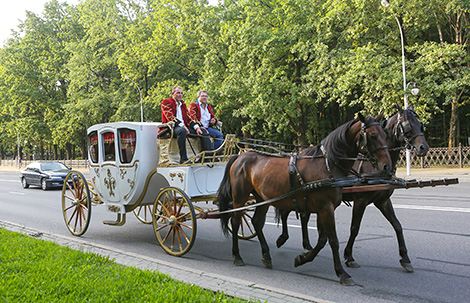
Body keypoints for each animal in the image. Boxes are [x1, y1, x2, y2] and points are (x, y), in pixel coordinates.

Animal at [218, 113, 392, 284]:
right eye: (373, 135)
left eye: (385, 135)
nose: (387, 166)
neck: (326, 164)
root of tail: (240, 156)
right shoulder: (325, 208)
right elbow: (333, 240)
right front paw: (341, 272)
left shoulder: (324, 209)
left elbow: (322, 240)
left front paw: (302, 258)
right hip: (240, 197)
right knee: (235, 221)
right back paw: (237, 256)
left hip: (262, 198)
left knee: (257, 222)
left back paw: (266, 256)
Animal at [278, 104, 432, 274]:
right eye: (407, 126)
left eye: (420, 124)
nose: (423, 148)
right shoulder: (361, 200)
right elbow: (354, 228)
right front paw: (349, 257)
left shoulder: (383, 200)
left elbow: (397, 225)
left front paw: (405, 258)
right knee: (287, 213)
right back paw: (284, 238)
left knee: (302, 216)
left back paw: (305, 245)